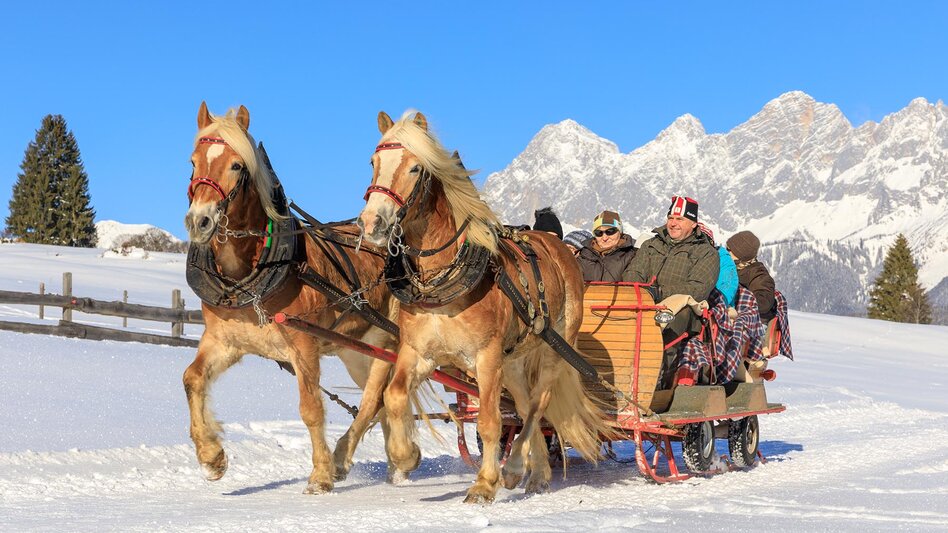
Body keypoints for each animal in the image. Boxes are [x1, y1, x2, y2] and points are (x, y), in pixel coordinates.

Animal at [182, 102, 398, 494]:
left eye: (237, 165)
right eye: (193, 162)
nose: (199, 221)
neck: (249, 275)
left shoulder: (304, 346)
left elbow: (310, 409)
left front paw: (320, 475)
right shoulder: (224, 341)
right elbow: (192, 379)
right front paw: (211, 457)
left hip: (388, 343)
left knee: (374, 401)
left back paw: (344, 459)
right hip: (356, 351)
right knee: (387, 404)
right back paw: (401, 461)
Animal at [356, 110, 613, 503]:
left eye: (416, 167)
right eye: (373, 162)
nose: (372, 222)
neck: (440, 281)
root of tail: (558, 248)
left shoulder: (486, 356)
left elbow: (490, 422)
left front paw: (484, 483)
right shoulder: (419, 352)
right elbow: (394, 395)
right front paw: (406, 456)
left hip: (552, 348)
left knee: (538, 403)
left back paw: (515, 467)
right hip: (514, 361)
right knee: (523, 404)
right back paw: (537, 474)